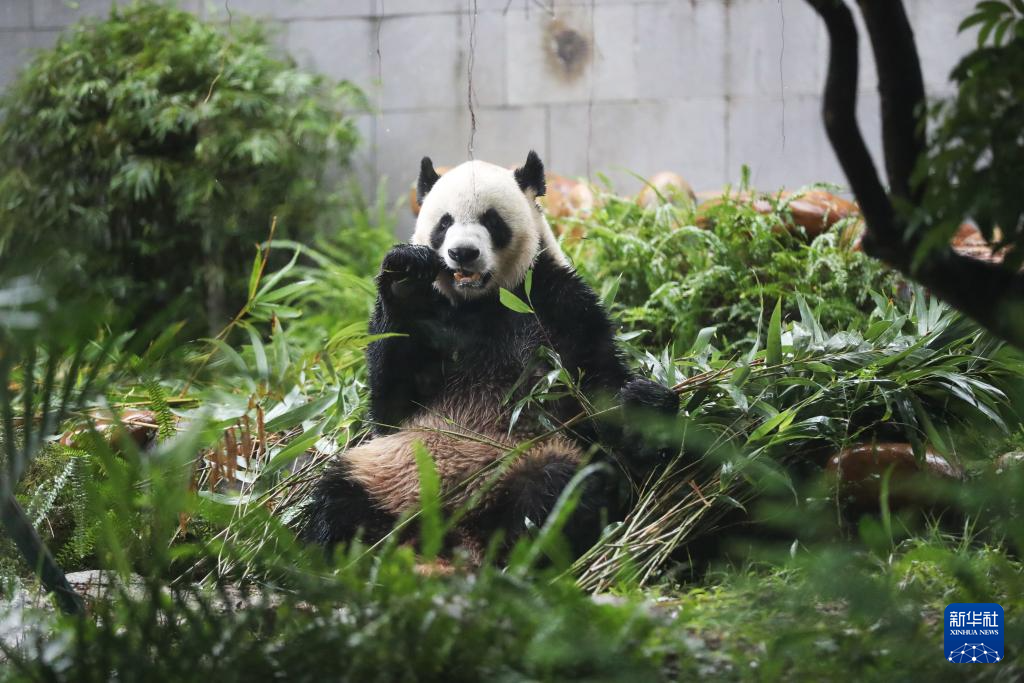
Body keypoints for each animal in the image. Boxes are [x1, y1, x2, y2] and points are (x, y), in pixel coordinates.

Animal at [299, 152, 679, 565]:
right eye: (444, 222)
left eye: (491, 221)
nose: (462, 252)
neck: (482, 302)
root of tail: (452, 526)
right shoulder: (433, 321)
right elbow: (391, 404)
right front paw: (405, 276)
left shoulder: (557, 304)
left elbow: (598, 386)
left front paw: (647, 403)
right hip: (390, 471)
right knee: (339, 500)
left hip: (521, 459)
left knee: (555, 493)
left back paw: (511, 554)